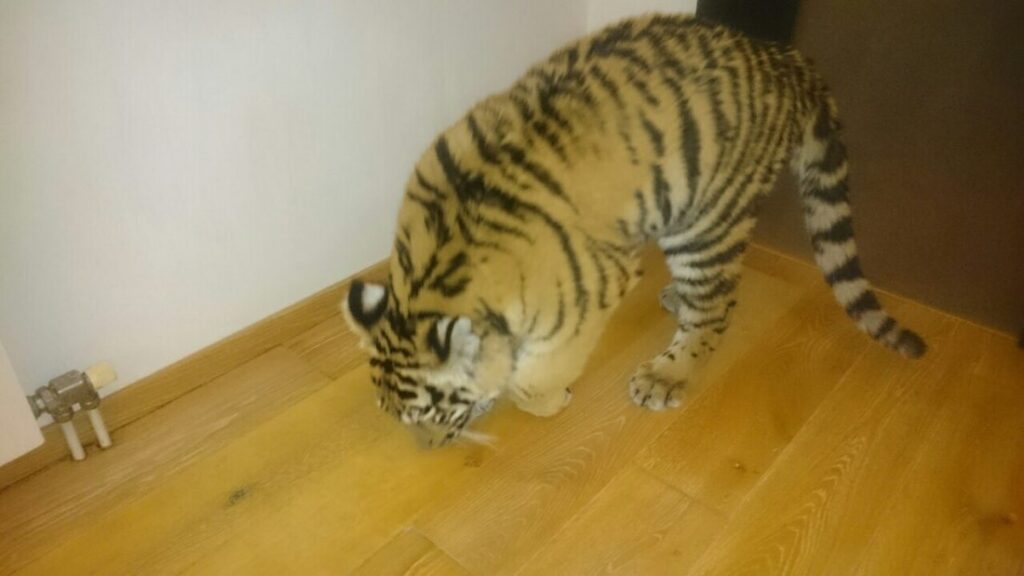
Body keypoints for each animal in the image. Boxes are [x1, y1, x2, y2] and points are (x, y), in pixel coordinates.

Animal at [342, 13, 926, 447]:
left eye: (433, 415)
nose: (432, 448)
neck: (437, 267)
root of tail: (789, 60)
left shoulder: (587, 294)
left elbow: (536, 377)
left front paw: (550, 400)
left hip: (706, 223)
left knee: (716, 308)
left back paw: (667, 373)